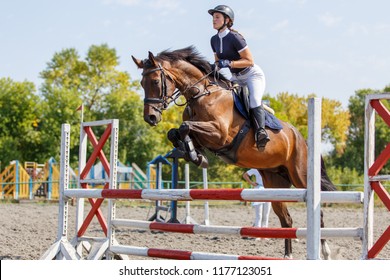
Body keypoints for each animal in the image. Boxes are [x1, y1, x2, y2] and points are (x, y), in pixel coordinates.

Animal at [133, 45, 336, 258]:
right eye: (141, 83)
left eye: (155, 81)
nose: (150, 117)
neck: (202, 94)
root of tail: (302, 139)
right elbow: (176, 131)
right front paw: (196, 156)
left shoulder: (220, 133)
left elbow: (184, 127)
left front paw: (195, 155)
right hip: (274, 183)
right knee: (286, 219)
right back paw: (287, 255)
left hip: (300, 176)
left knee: (318, 212)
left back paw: (325, 251)